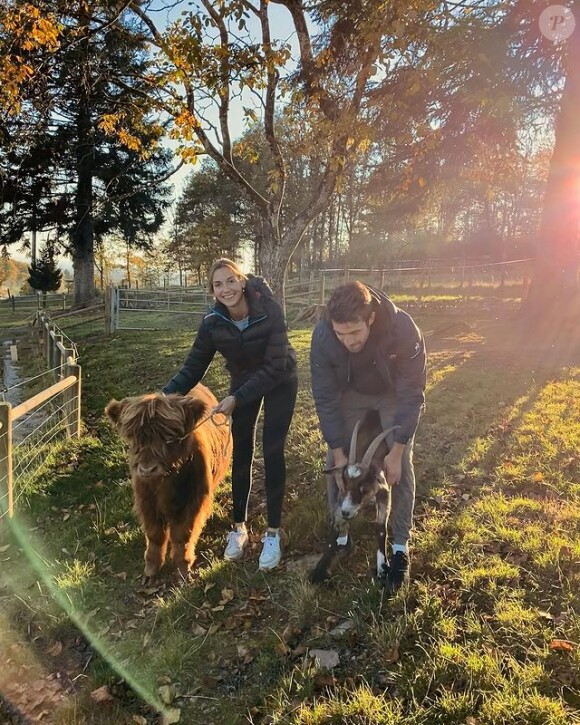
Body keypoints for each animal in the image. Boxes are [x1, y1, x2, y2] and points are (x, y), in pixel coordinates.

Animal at [105, 384, 232, 584]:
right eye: (134, 438)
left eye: (169, 437)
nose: (148, 469)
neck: (166, 482)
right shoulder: (146, 503)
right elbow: (155, 536)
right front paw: (150, 570)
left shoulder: (193, 502)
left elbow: (182, 536)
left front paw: (183, 569)